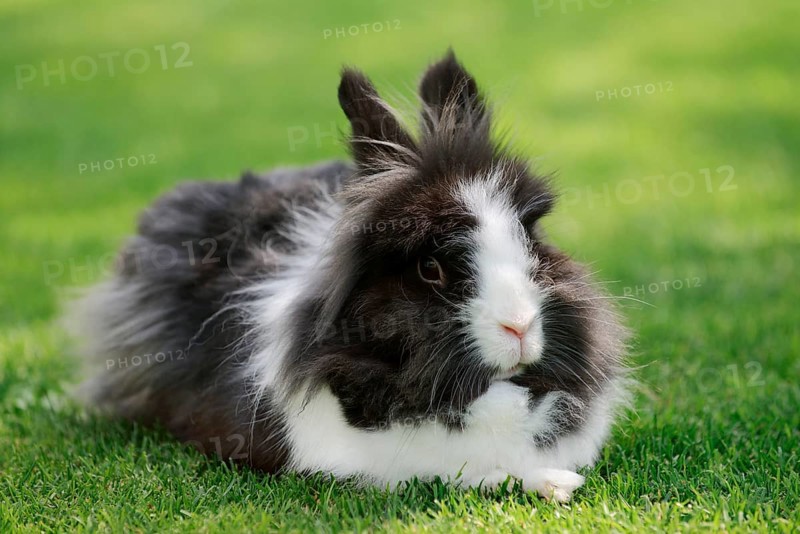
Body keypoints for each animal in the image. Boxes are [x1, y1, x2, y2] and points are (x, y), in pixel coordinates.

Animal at [69, 50, 629, 502]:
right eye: (430, 268)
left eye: (530, 239)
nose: (520, 326)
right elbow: (464, 472)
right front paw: (554, 484)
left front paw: (559, 480)